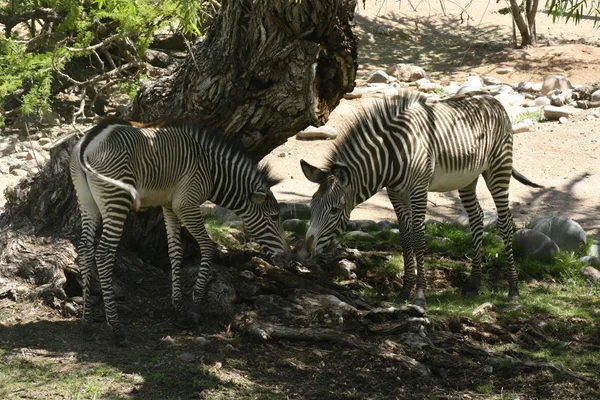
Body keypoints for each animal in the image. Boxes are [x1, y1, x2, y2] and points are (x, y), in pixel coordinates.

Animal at [70, 117, 290, 346]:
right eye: (274, 217)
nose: (288, 259)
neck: (211, 170)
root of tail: (91, 139)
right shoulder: (186, 205)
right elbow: (207, 247)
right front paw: (195, 306)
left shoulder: (169, 206)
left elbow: (175, 252)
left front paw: (178, 307)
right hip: (117, 199)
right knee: (103, 254)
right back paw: (115, 327)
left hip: (86, 200)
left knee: (85, 249)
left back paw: (86, 322)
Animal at [300, 90, 544, 308]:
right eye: (311, 207)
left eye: (334, 210)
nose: (302, 255)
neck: (391, 157)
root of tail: (492, 99)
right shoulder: (396, 194)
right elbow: (406, 238)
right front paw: (404, 291)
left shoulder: (418, 190)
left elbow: (418, 238)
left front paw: (419, 295)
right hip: (468, 178)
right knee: (476, 218)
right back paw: (474, 285)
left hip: (498, 168)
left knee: (505, 223)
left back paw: (513, 290)